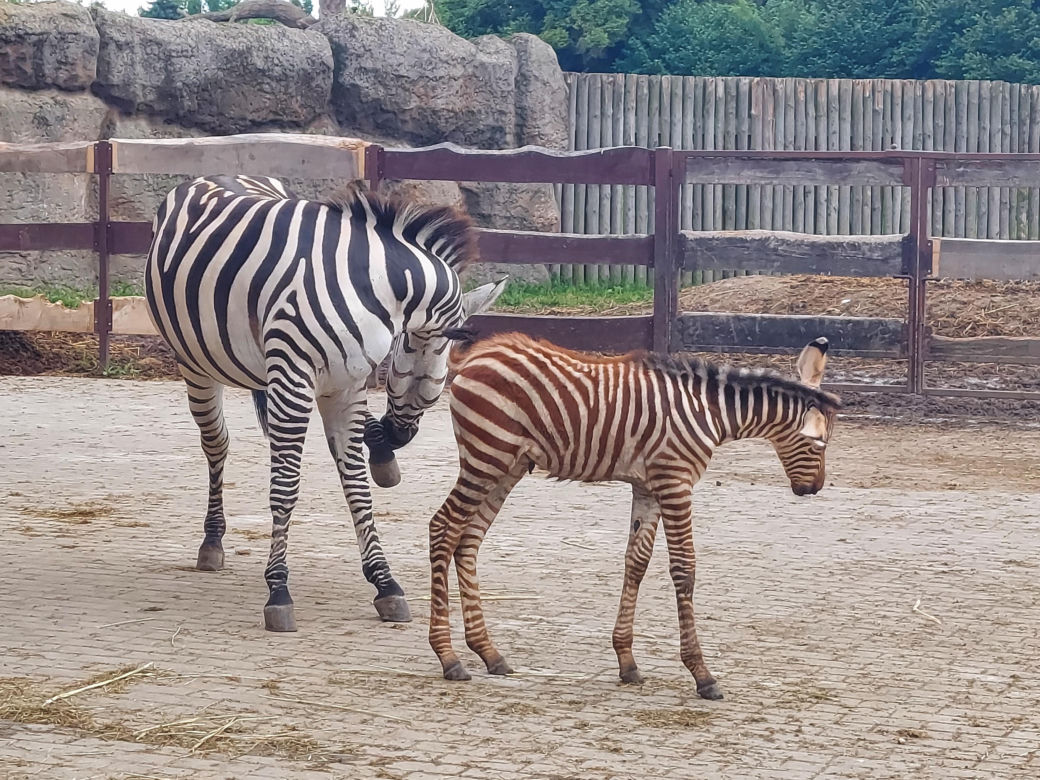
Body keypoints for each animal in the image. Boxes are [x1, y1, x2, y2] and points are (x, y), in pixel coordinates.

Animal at [144, 174, 506, 633]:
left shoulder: (345, 385)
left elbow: (357, 486)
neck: (372, 285)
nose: (399, 435)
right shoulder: (293, 381)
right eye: (434, 366)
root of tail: (218, 175)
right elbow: (284, 489)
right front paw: (278, 591)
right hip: (195, 362)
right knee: (216, 444)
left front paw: (385, 583)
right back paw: (212, 540)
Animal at [427, 333, 840, 699]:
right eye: (819, 444)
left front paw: (627, 661)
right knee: (443, 528)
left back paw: (488, 652)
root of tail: (474, 356)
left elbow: (636, 562)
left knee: (468, 539)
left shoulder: (648, 488)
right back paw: (448, 658)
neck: (710, 414)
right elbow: (685, 570)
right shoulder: (675, 483)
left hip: (506, 466)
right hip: (486, 457)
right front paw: (702, 674)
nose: (814, 488)